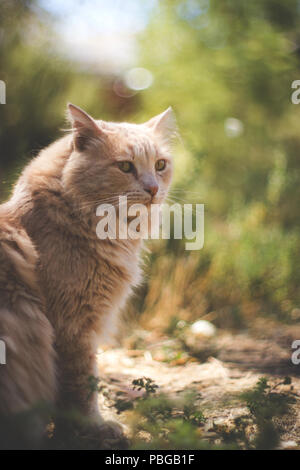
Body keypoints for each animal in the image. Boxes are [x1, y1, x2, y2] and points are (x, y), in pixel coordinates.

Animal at [0, 103, 176, 448]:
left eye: (160, 165)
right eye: (125, 166)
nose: (153, 188)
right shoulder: (73, 328)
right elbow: (82, 388)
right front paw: (92, 429)